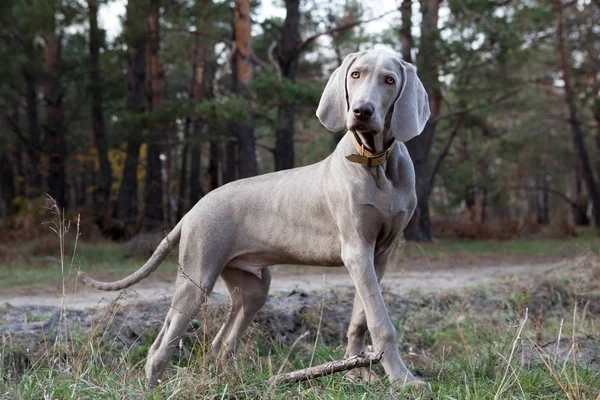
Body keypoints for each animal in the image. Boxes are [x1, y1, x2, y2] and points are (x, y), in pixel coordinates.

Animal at [79, 49, 432, 388]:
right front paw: (403, 380)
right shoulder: (356, 250)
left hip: (252, 287)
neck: (375, 162)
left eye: (389, 80)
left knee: (221, 342)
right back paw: (155, 386)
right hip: (197, 278)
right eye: (356, 74)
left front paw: (358, 373)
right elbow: (380, 321)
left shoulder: (379, 254)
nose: (361, 111)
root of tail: (192, 210)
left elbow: (361, 317)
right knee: (163, 346)